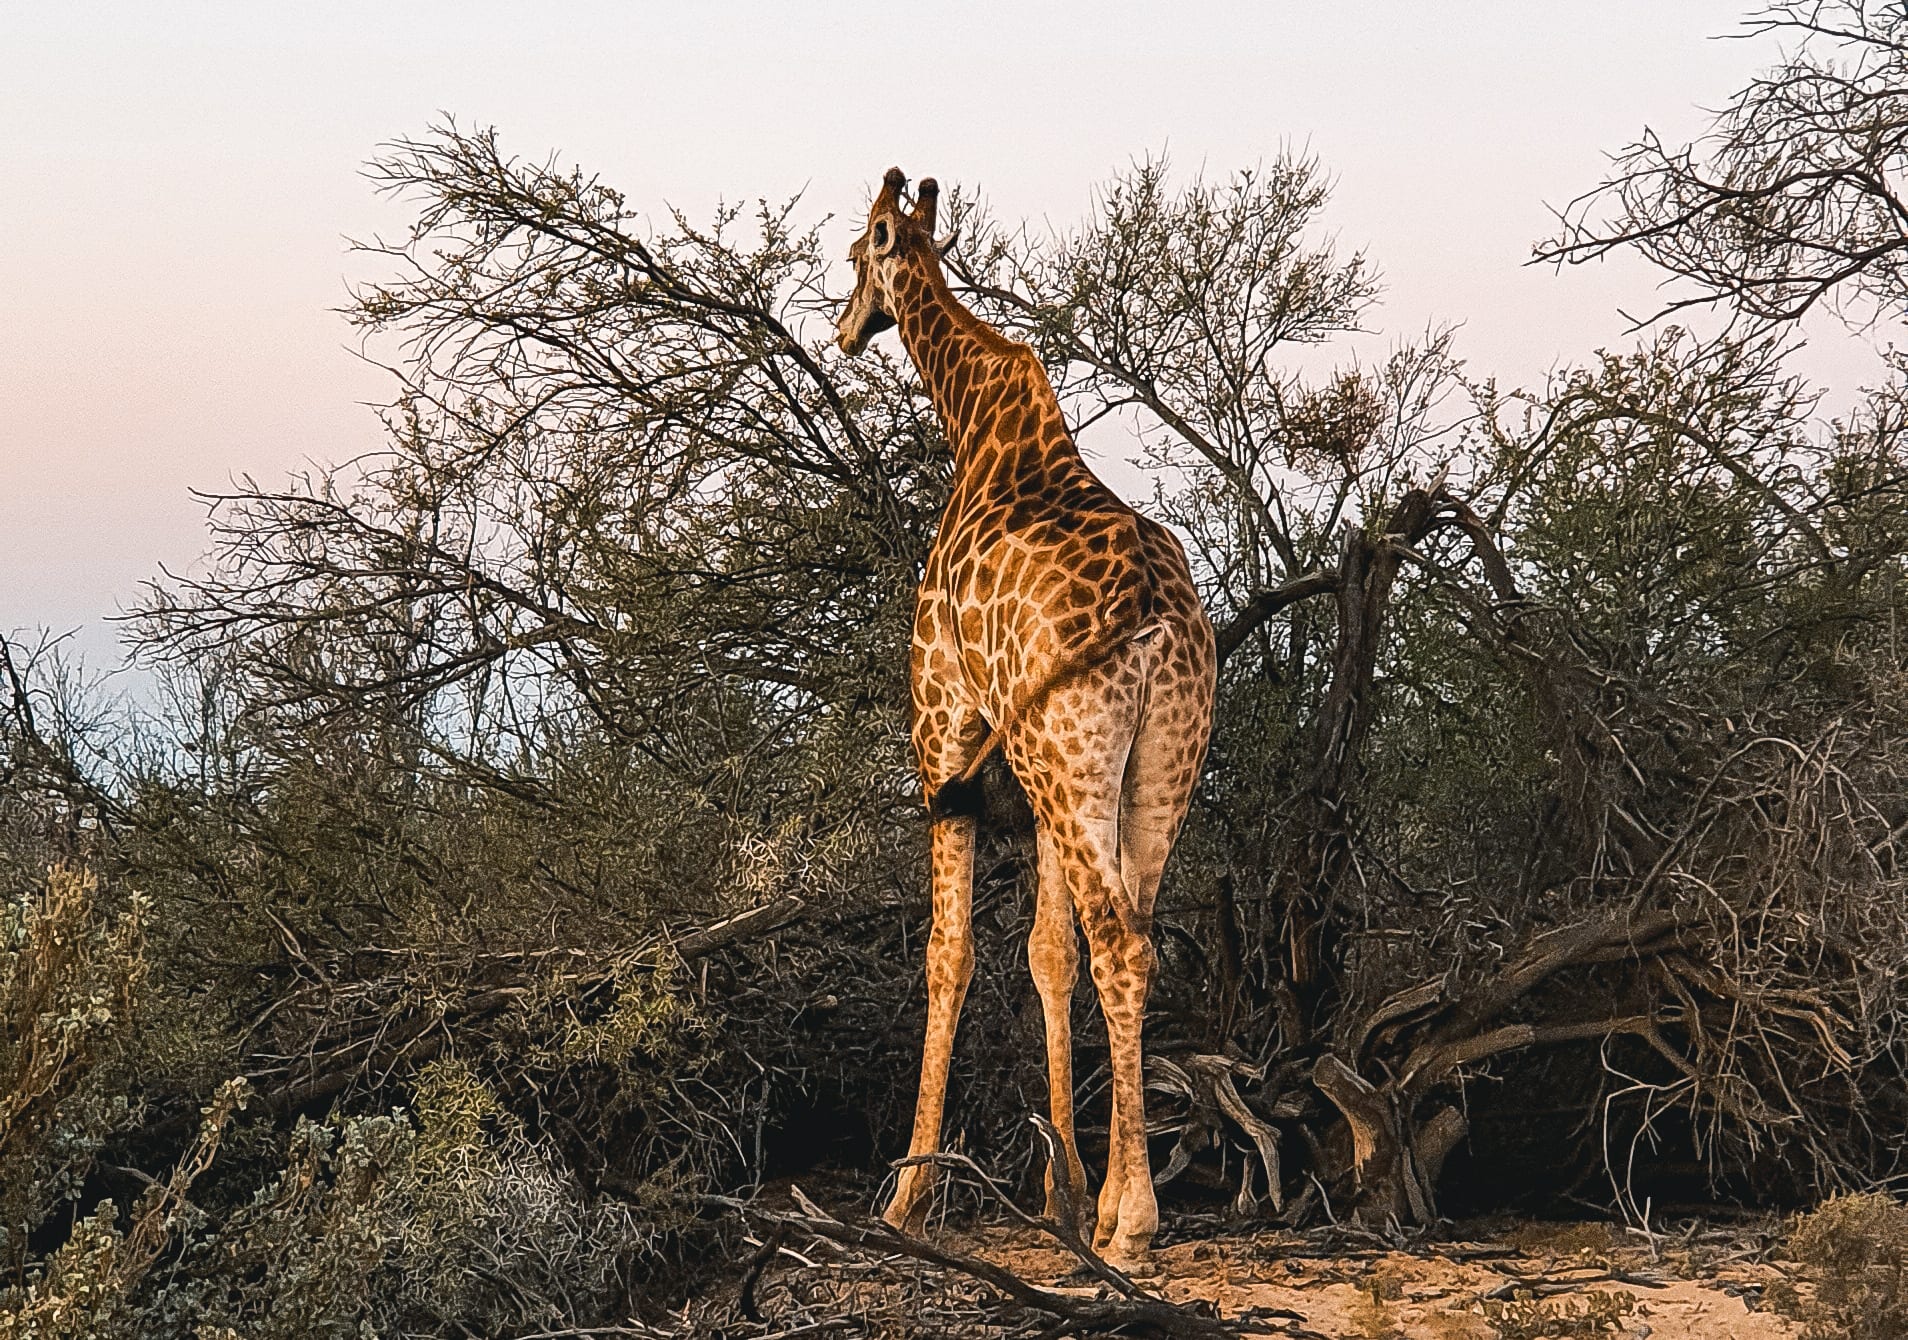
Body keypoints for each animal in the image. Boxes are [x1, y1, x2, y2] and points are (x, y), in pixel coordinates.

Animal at [839, 170, 1221, 1267]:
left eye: (856, 252)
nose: (844, 328)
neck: (979, 427)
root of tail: (1151, 613)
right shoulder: (1030, 784)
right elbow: (1047, 955)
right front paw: (1062, 1191)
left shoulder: (944, 749)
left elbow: (948, 956)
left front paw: (907, 1197)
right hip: (1150, 768)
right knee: (1130, 937)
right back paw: (1119, 1207)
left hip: (1072, 762)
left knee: (1118, 940)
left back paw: (1134, 1222)